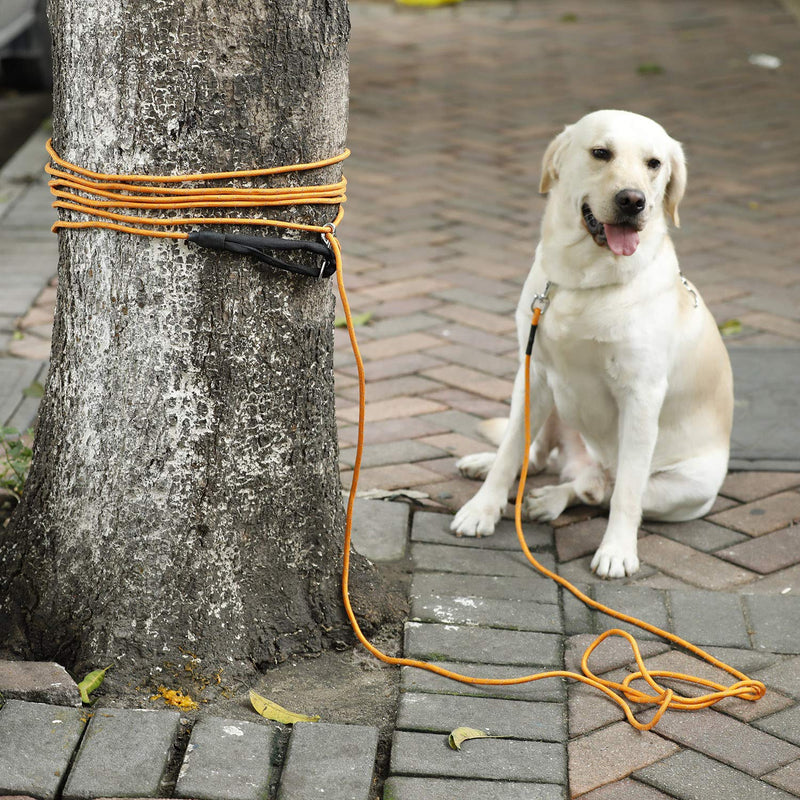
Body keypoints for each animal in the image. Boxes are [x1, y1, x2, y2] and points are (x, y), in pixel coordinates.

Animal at [450, 109, 732, 580]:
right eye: (601, 152)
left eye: (654, 163)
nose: (633, 200)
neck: (584, 280)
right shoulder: (533, 371)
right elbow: (511, 450)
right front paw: (482, 508)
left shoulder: (641, 397)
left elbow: (626, 493)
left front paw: (617, 550)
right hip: (550, 402)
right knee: (539, 456)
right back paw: (493, 467)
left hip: (684, 490)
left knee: (598, 488)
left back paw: (552, 499)